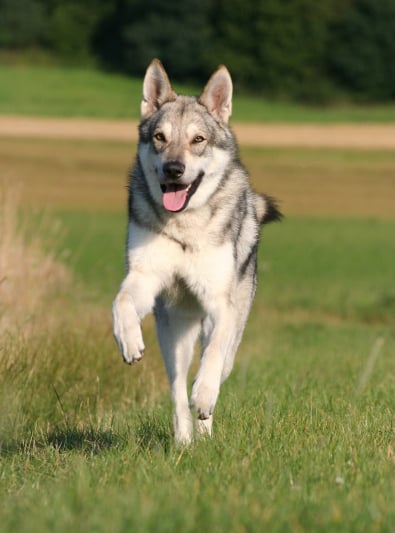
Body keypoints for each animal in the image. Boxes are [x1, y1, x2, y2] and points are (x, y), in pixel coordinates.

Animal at [113, 58, 284, 442]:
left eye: (198, 140)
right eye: (160, 137)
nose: (174, 170)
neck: (184, 228)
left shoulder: (220, 304)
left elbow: (213, 359)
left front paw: (204, 396)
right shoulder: (144, 277)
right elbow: (121, 302)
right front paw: (128, 341)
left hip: (228, 328)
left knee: (216, 364)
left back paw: (205, 428)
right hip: (172, 335)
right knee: (177, 388)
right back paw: (184, 440)